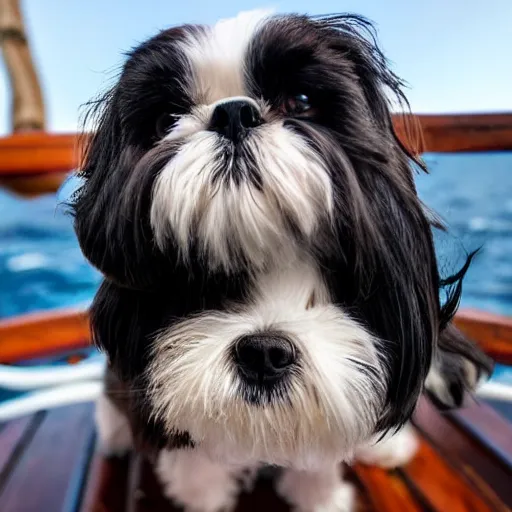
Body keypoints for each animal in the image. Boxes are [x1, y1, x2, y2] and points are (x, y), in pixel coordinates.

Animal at [72, 9, 492, 512]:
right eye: (167, 120)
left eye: (301, 102)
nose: (233, 112)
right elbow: (193, 459)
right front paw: (205, 497)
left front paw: (321, 497)